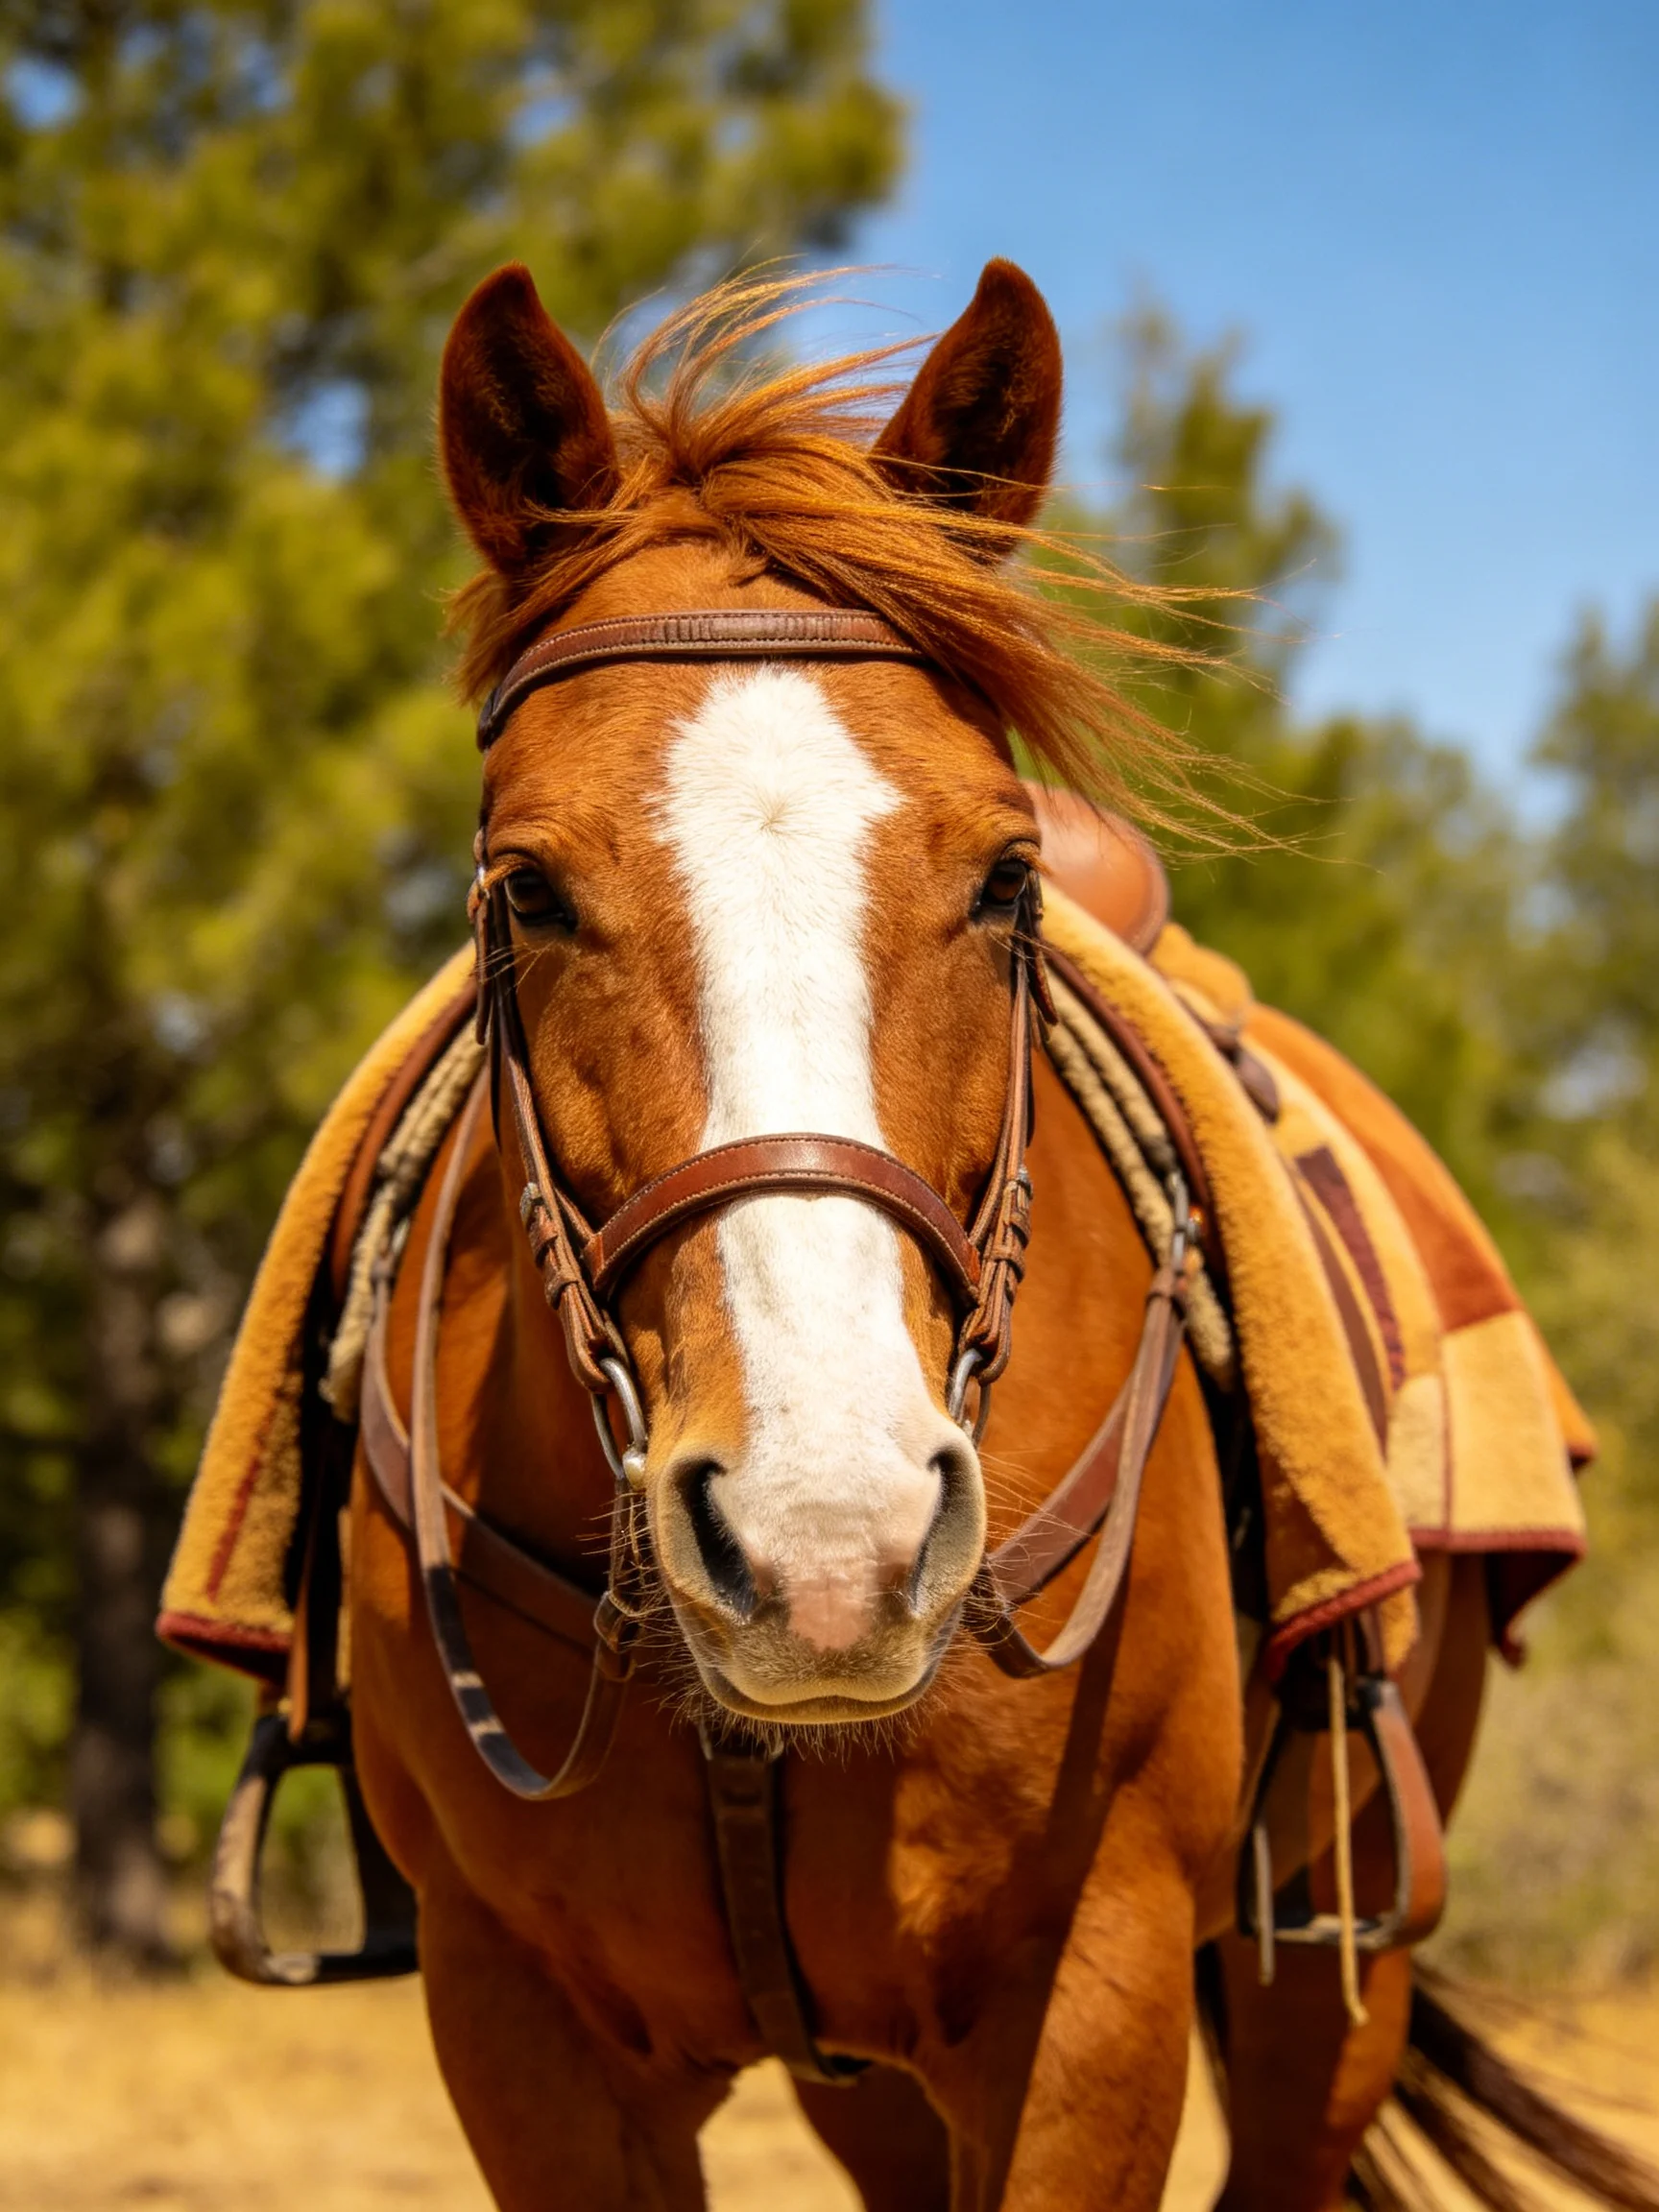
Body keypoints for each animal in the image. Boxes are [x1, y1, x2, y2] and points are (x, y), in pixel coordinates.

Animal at [336, 258, 1648, 2212]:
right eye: (527, 888)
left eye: (1006, 877)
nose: (829, 1543)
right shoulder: (519, 2028)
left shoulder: (1092, 2001)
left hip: (1331, 1976)